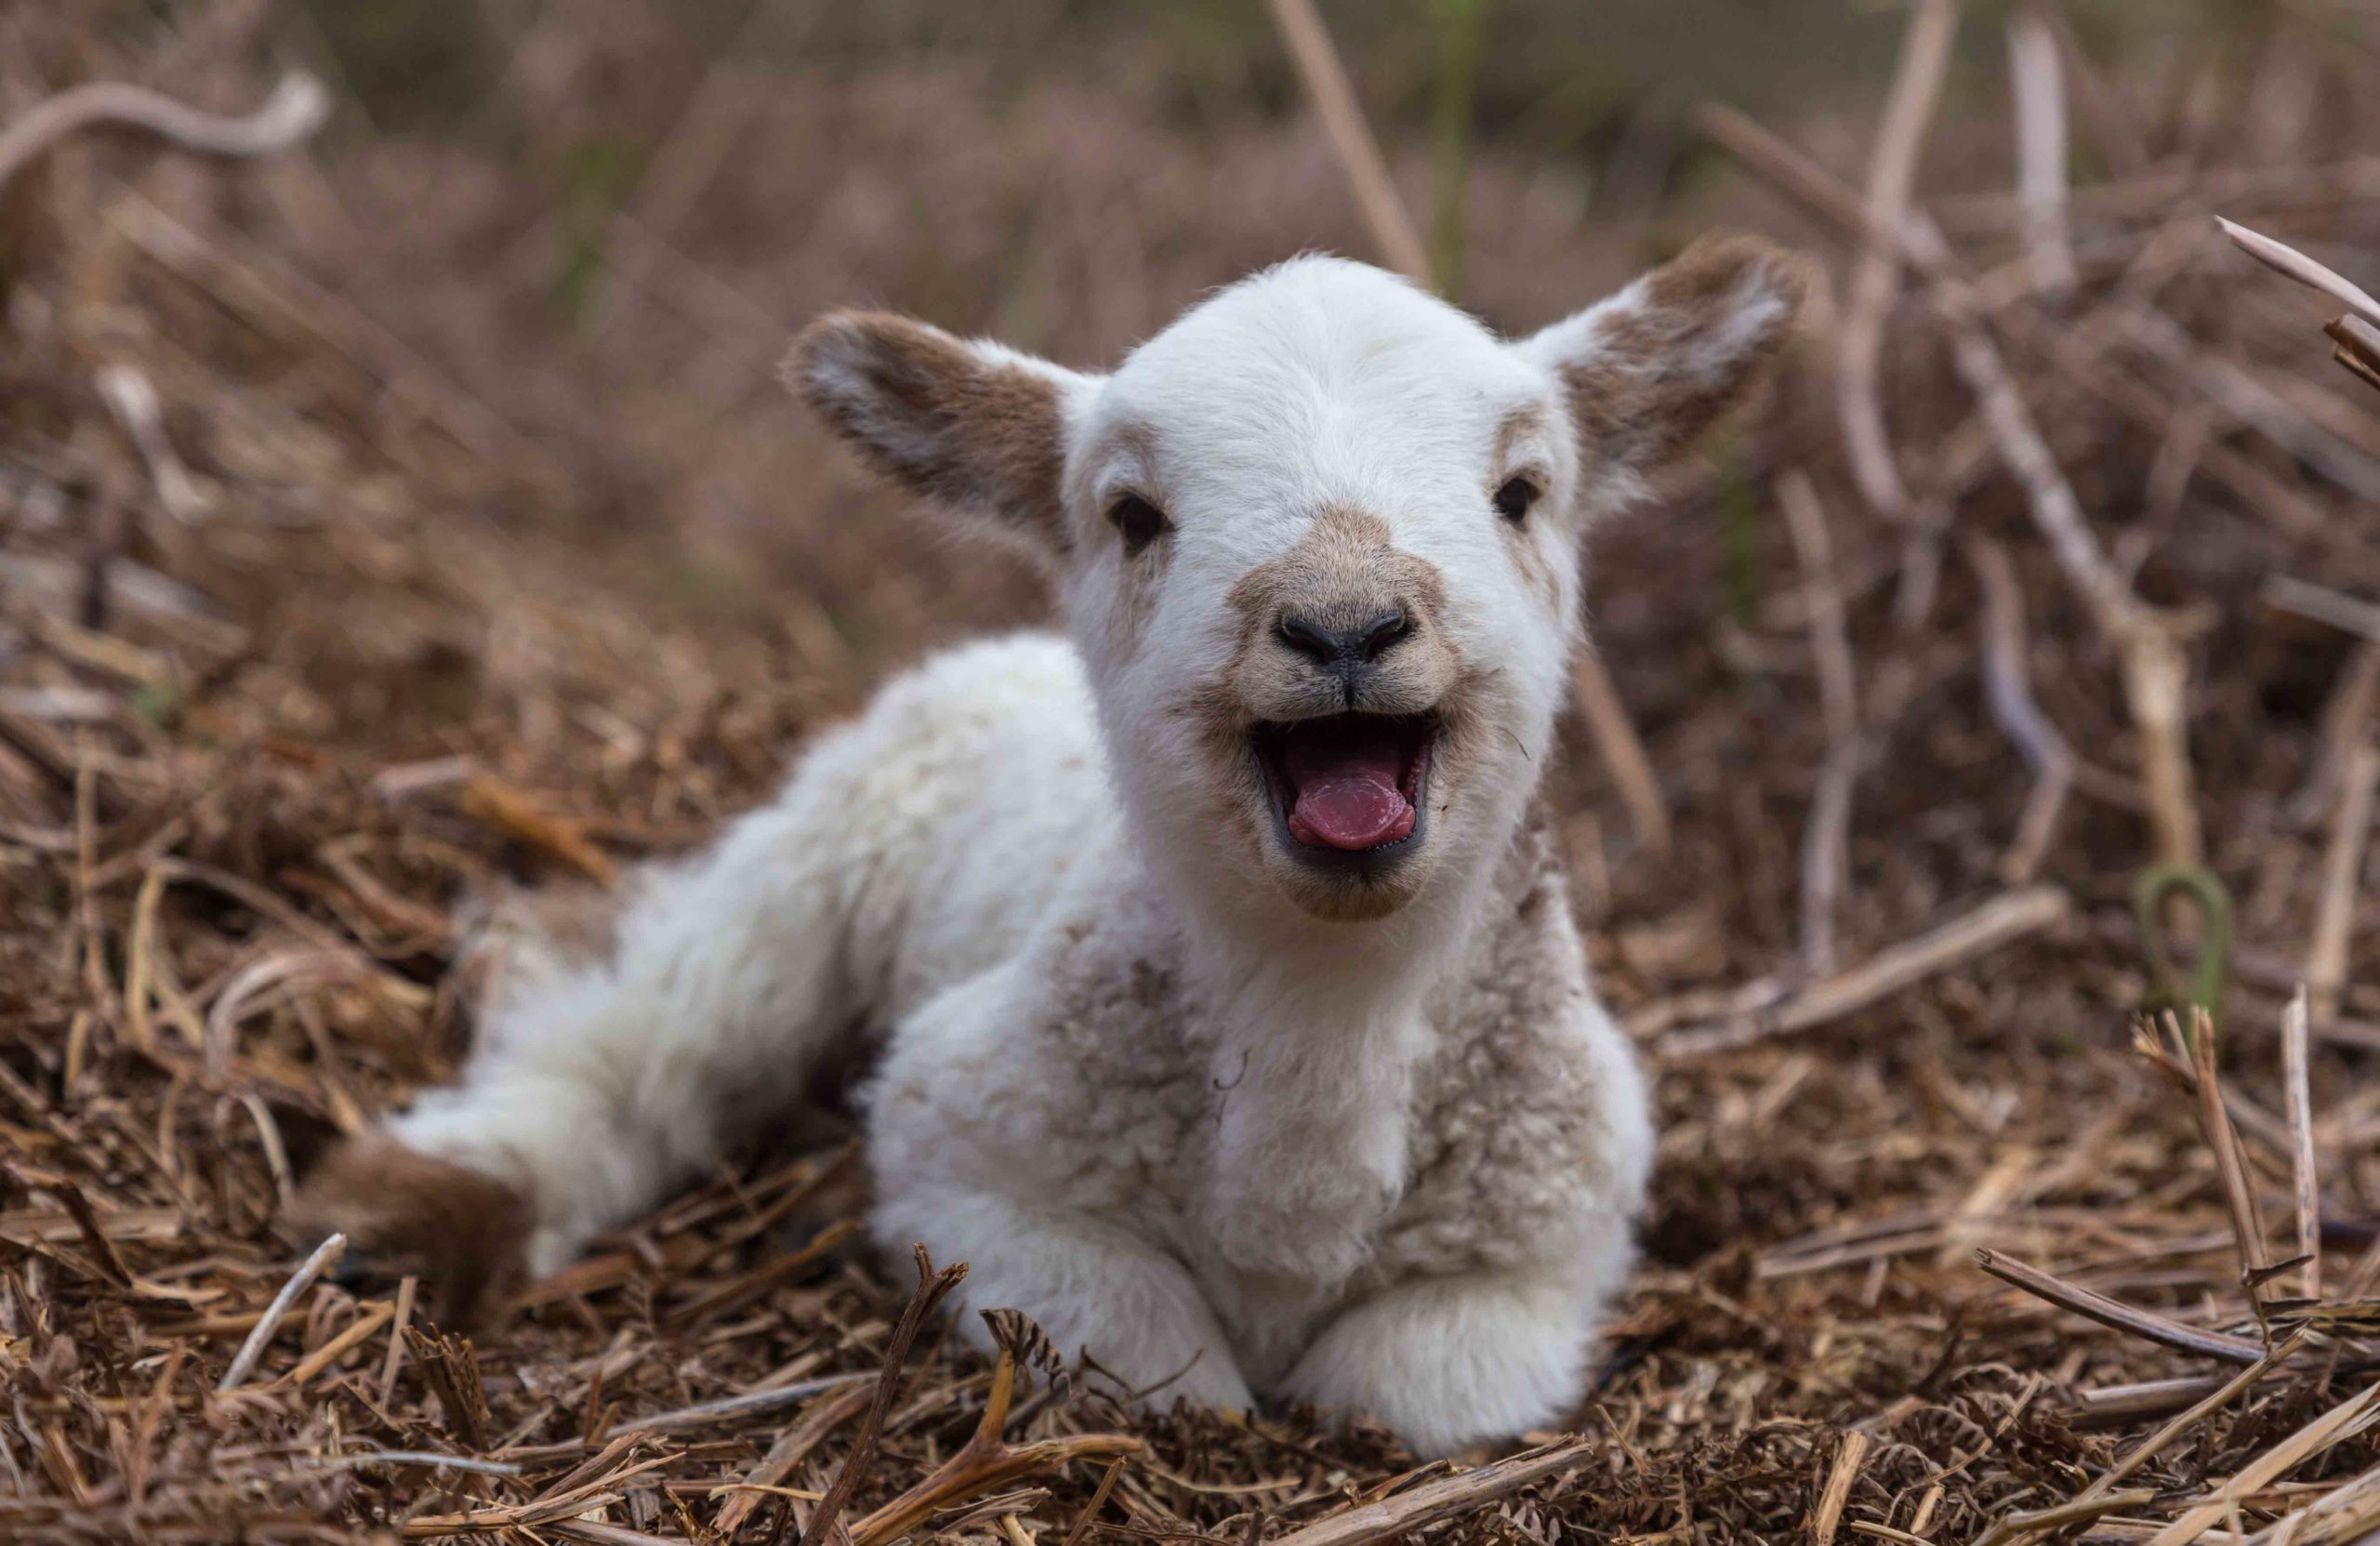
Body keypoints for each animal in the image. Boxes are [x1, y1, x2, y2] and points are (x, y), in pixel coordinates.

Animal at [295, 237, 1808, 1456]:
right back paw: (422, 1200)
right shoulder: (966, 1149)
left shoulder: (1554, 1230)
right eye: (1131, 515)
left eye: (1522, 491)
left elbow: (1406, 1388)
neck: (1326, 1009)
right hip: (831, 839)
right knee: (652, 1024)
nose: (1344, 624)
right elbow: (1156, 1357)